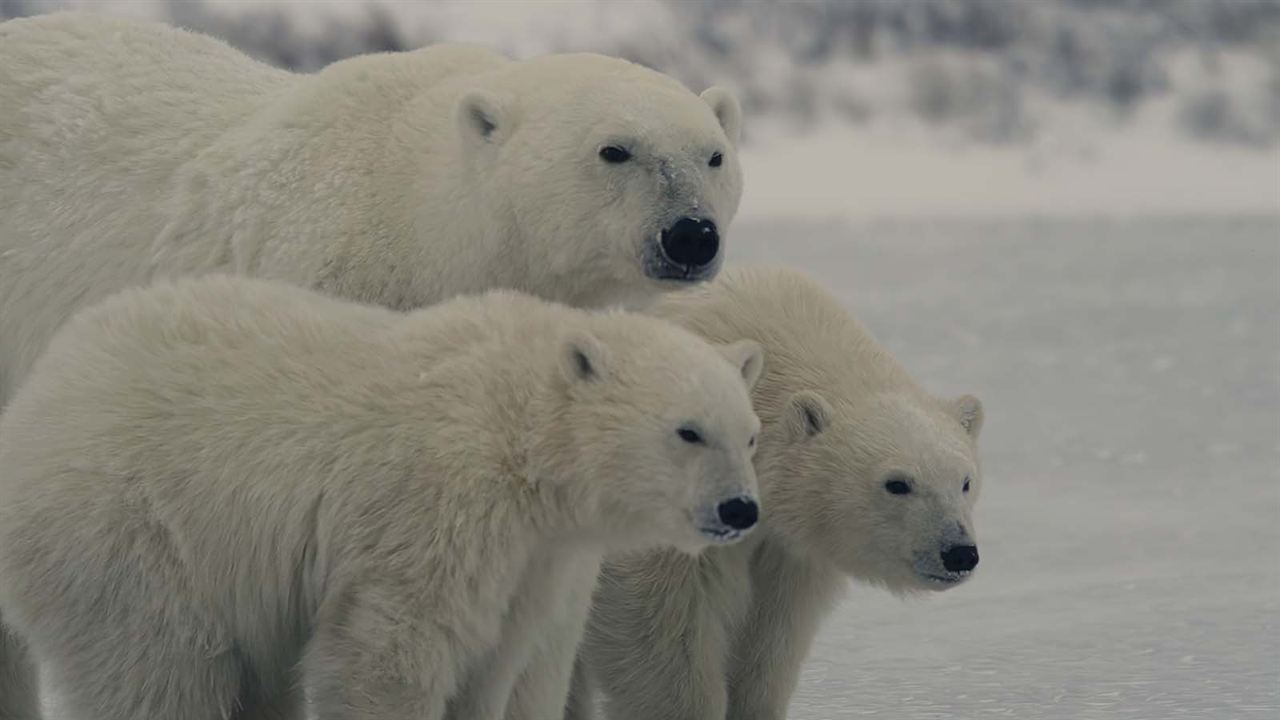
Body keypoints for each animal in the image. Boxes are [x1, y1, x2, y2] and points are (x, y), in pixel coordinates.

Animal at [0, 275, 757, 717]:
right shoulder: (434, 506)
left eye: (749, 435)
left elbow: (495, 658)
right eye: (689, 431)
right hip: (130, 526)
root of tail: (41, 388)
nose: (740, 510)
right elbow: (389, 650)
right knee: (159, 667)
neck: (517, 428)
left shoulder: (538, 557)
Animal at [573, 267, 988, 717]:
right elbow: (660, 625)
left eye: (965, 481)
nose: (958, 552)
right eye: (897, 483)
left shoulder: (787, 550)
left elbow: (772, 637)